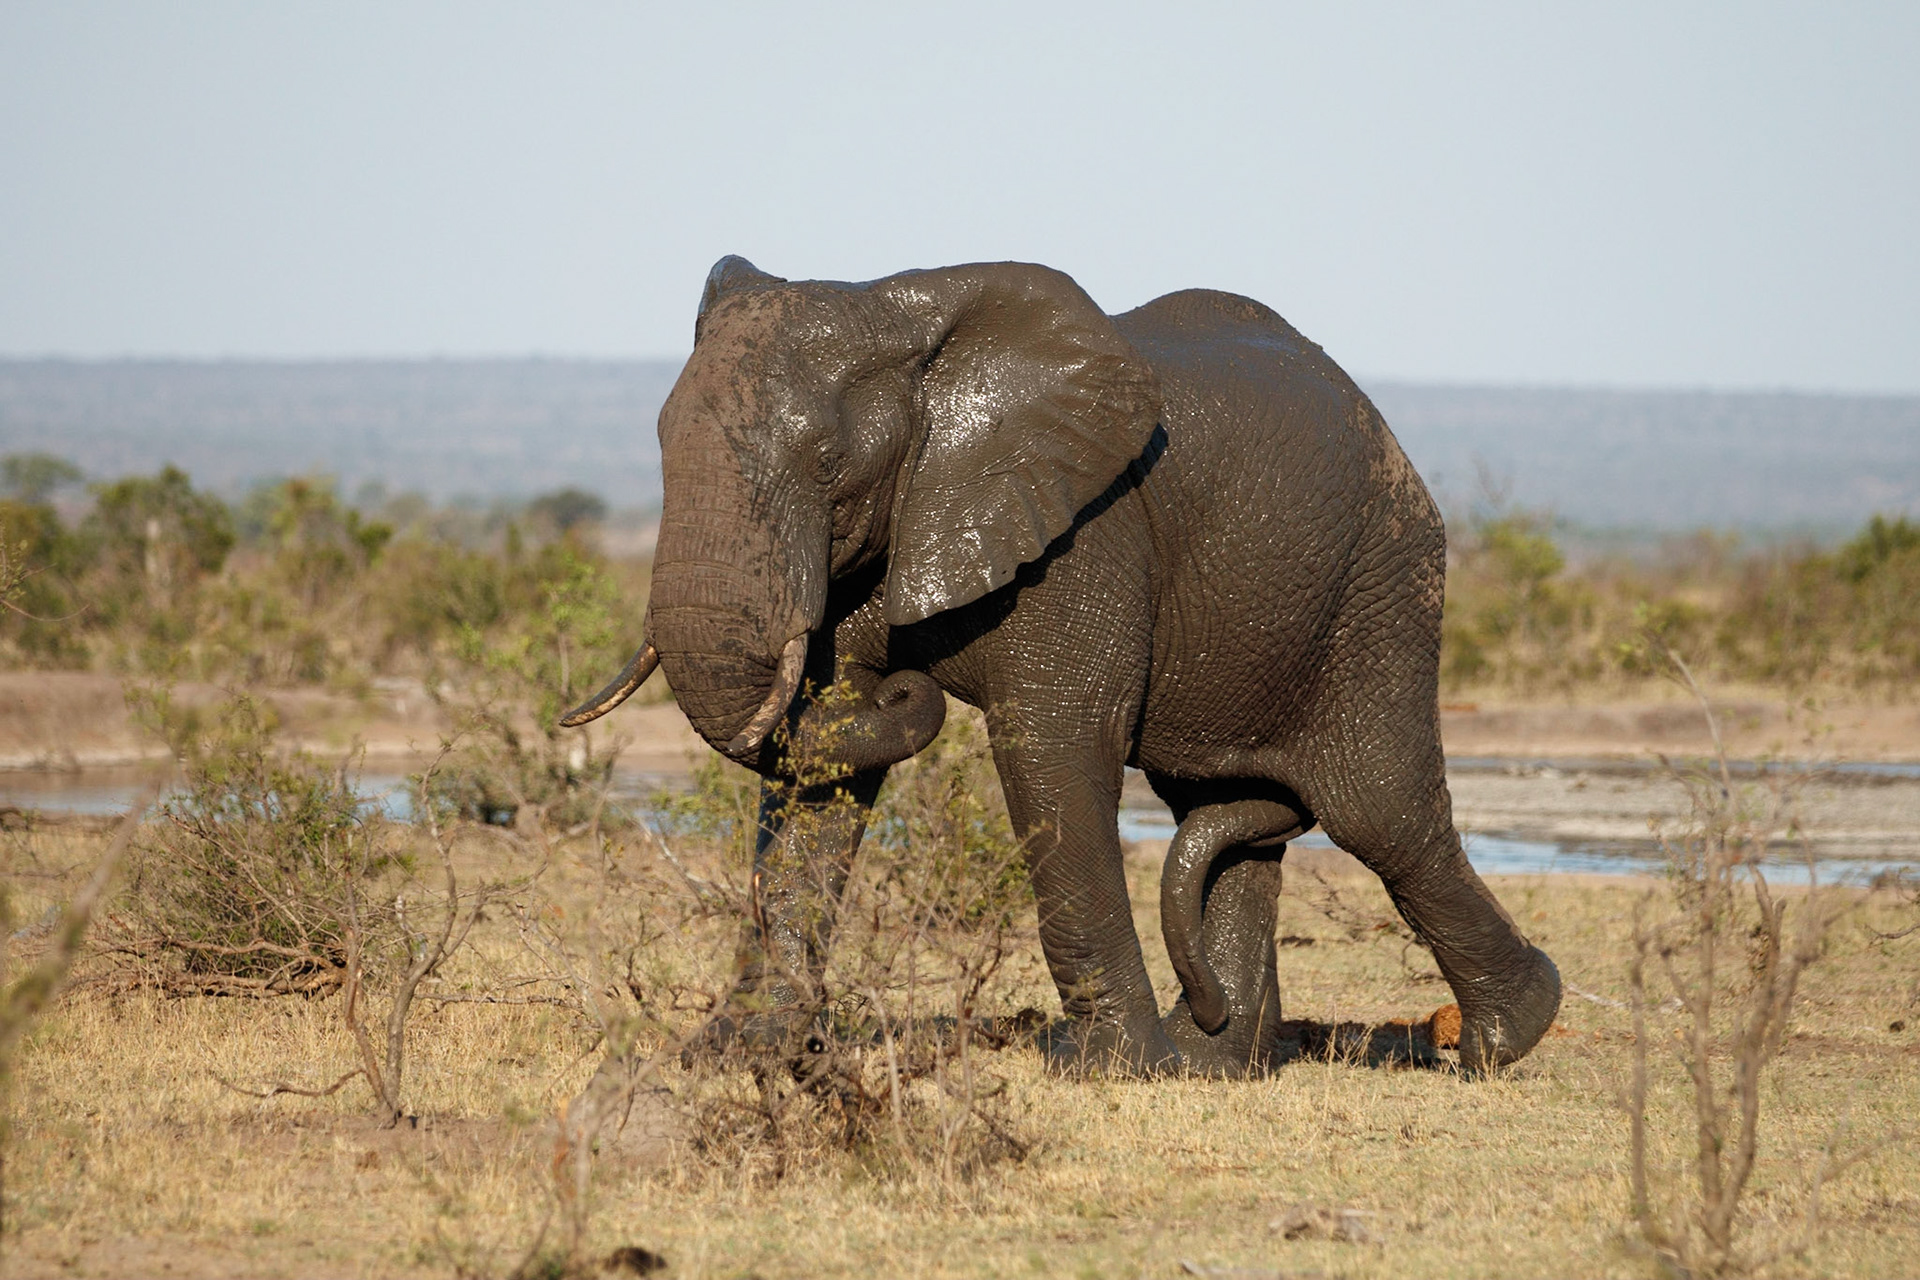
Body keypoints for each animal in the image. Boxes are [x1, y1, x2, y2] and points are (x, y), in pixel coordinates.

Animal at [562, 256, 1561, 1077]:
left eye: (827, 461)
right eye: (658, 440)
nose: (910, 684)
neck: (907, 322)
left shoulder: (1084, 531)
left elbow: (1052, 743)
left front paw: (1110, 1068)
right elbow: (825, 764)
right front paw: (735, 1057)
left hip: (1383, 584)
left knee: (1377, 809)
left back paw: (1501, 1039)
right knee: (1226, 812)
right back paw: (1217, 1059)